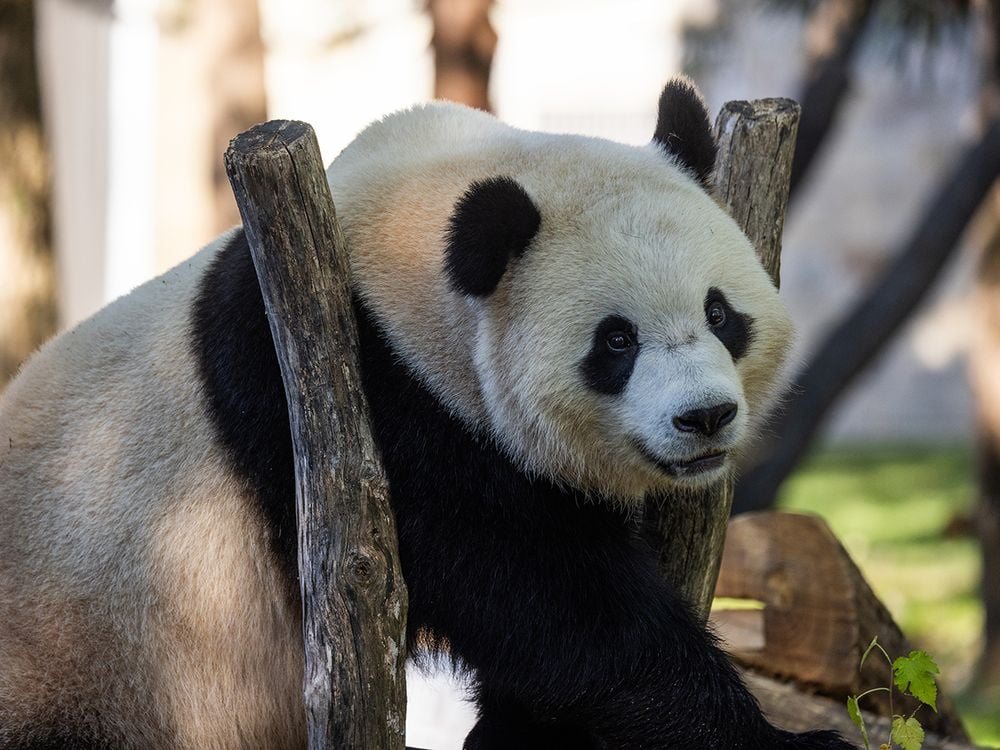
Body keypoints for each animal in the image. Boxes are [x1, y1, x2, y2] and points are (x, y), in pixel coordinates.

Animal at [0, 79, 852, 748]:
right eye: (616, 341)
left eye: (720, 313)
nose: (705, 417)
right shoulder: (359, 393)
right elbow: (546, 596)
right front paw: (781, 741)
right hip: (91, 658)